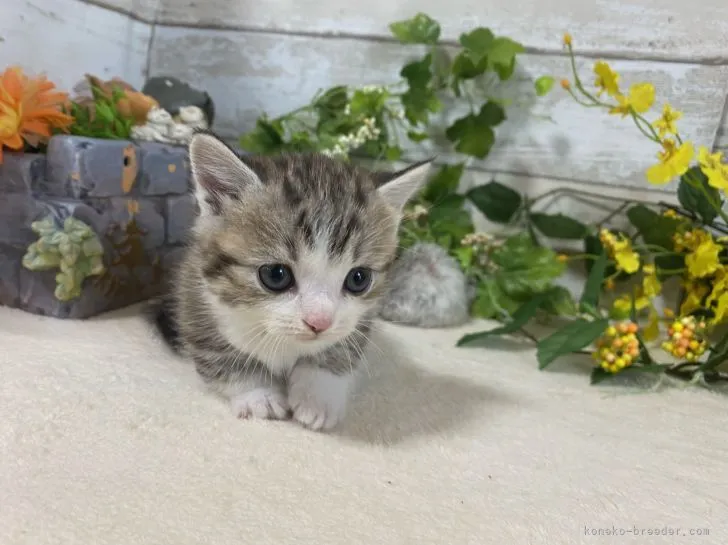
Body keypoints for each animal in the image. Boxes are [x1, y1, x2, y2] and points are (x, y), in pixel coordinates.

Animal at [152, 132, 432, 430]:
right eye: (276, 275)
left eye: (359, 279)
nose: (319, 322)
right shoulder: (195, 297)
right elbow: (219, 355)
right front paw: (258, 394)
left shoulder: (361, 318)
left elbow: (341, 346)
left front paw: (318, 396)